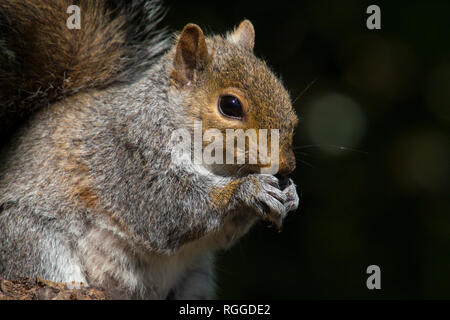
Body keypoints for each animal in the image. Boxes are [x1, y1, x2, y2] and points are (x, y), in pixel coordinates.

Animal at [0, 0, 298, 300]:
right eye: (231, 105)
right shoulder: (129, 155)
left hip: (195, 280)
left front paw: (290, 194)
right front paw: (249, 189)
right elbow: (171, 206)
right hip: (34, 239)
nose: (286, 166)